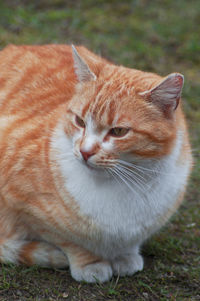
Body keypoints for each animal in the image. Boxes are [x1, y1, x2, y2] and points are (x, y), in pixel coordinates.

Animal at [0, 43, 193, 282]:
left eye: (118, 131)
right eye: (80, 121)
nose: (85, 151)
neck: (126, 182)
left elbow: (129, 242)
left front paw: (124, 256)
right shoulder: (20, 202)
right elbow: (67, 239)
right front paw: (89, 262)